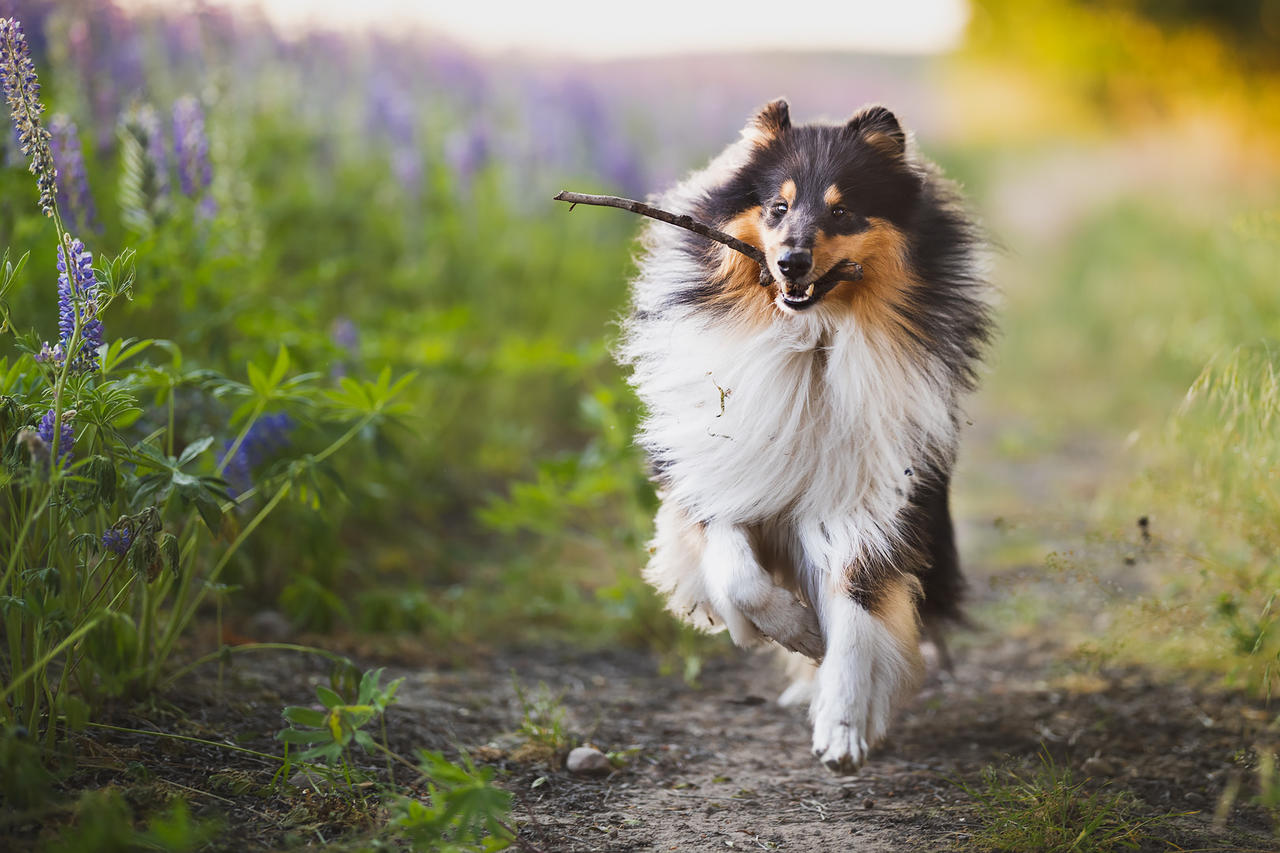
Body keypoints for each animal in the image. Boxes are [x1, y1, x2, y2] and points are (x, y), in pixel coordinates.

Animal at [616, 97, 988, 768]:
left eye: (841, 209)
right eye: (778, 207)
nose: (790, 263)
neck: (811, 341)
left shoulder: (869, 501)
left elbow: (858, 612)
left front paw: (843, 726)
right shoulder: (722, 475)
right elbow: (738, 577)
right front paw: (798, 634)